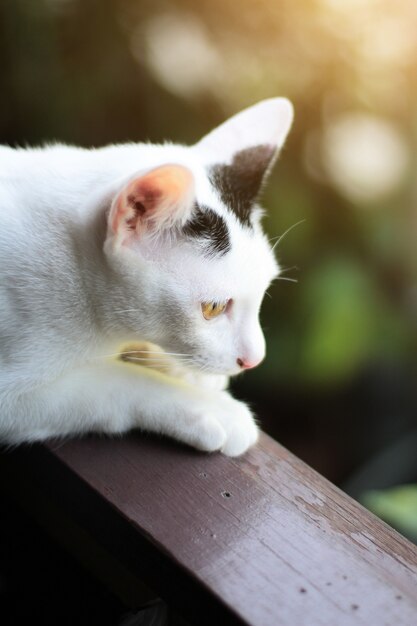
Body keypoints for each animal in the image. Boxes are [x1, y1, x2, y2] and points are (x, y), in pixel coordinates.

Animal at [0, 100, 292, 456]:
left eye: (262, 293)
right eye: (213, 308)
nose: (254, 359)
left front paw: (182, 370)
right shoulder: (9, 398)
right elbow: (113, 383)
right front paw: (207, 406)